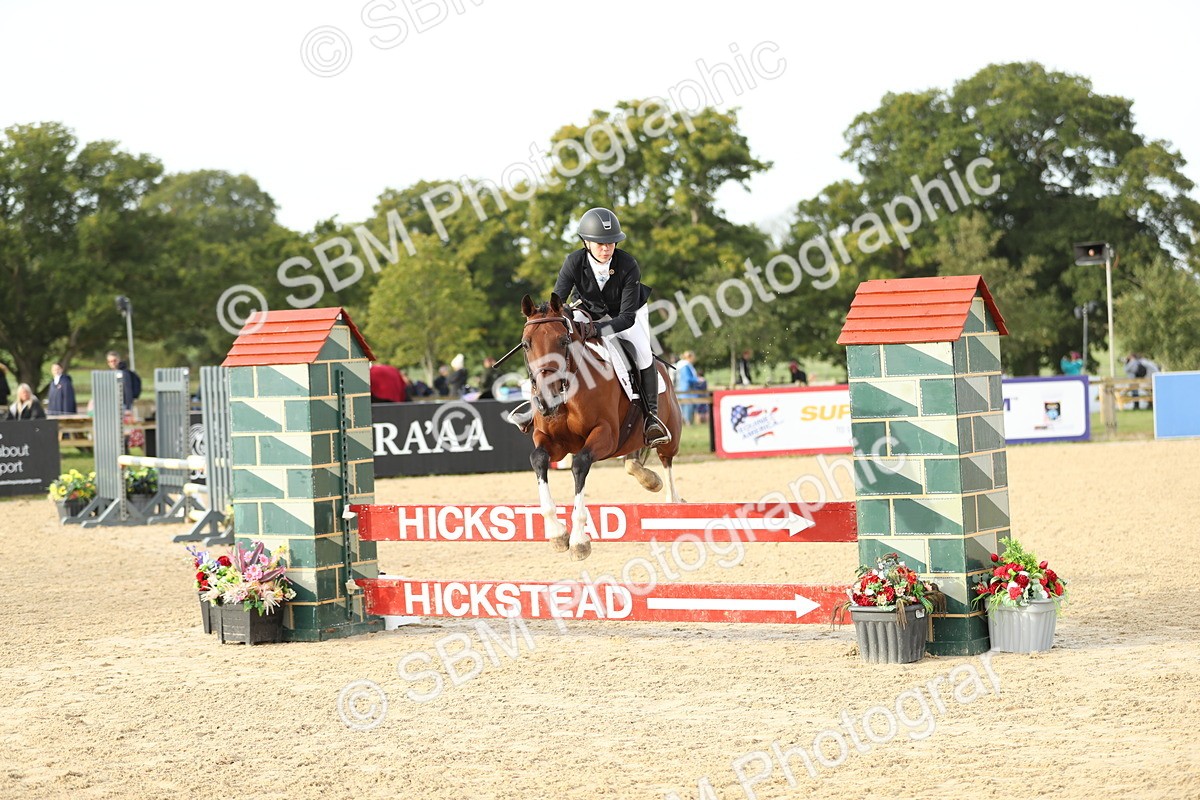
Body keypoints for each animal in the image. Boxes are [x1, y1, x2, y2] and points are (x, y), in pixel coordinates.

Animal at [520, 293, 682, 560]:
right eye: (526, 344)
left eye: (564, 341)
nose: (546, 400)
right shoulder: (551, 441)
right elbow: (538, 460)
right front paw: (557, 533)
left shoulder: (605, 436)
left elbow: (579, 465)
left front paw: (578, 540)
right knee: (633, 461)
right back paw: (649, 480)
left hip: (670, 434)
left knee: (666, 459)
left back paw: (673, 503)